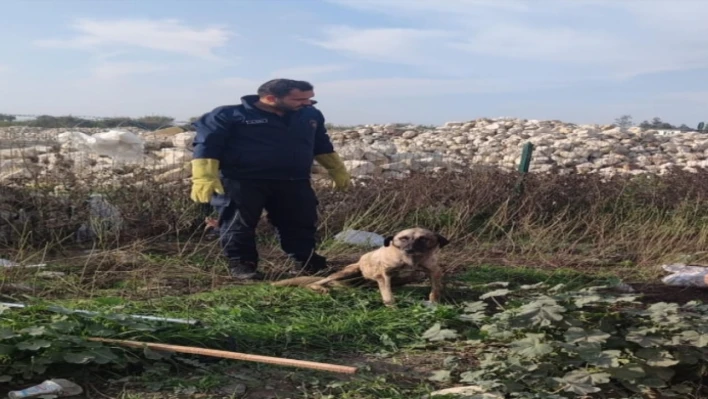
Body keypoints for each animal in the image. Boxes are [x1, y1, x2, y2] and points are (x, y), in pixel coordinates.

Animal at [272, 228, 448, 306]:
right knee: (317, 282)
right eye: (403, 238)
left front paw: (434, 301)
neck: (410, 260)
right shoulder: (383, 275)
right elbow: (388, 296)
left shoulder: (434, 271)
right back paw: (320, 287)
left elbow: (436, 288)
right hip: (345, 273)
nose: (410, 248)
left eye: (423, 239)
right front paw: (392, 307)